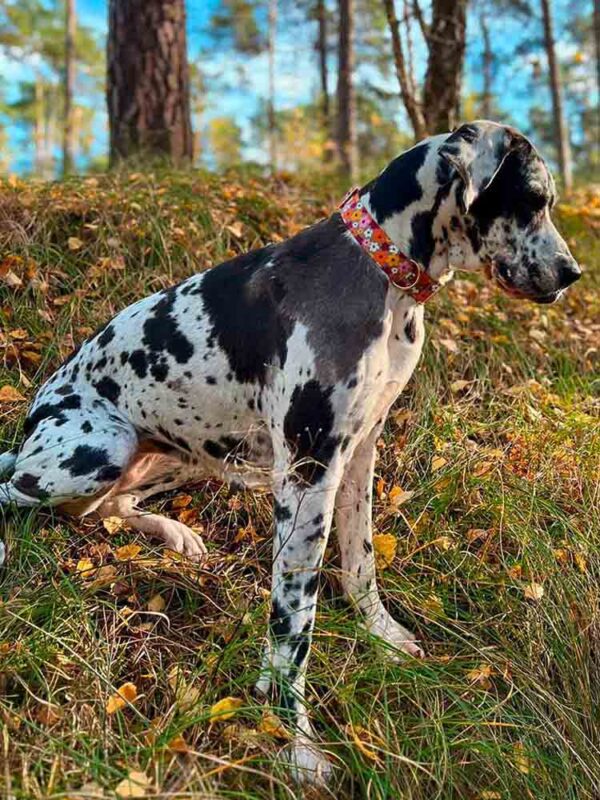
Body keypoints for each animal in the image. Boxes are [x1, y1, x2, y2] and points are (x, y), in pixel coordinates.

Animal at [0, 122, 580, 784]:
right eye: (533, 200)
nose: (571, 273)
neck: (382, 275)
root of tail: (34, 416)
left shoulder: (360, 448)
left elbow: (360, 562)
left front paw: (381, 634)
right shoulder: (308, 468)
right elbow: (293, 622)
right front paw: (293, 741)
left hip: (185, 452)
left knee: (106, 509)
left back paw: (175, 534)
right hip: (99, 447)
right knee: (20, 491)